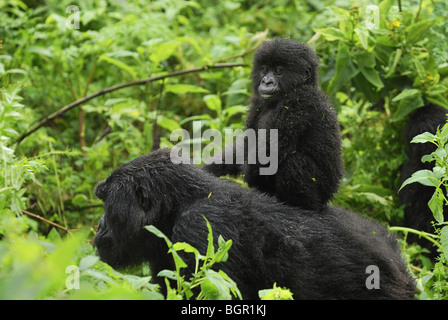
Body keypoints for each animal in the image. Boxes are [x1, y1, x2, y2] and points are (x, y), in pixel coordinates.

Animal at [203, 38, 344, 210]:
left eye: (278, 71)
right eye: (264, 69)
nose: (267, 82)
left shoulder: (299, 102)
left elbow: (267, 153)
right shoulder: (257, 103)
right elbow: (247, 144)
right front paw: (213, 168)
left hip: (324, 192)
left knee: (294, 162)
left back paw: (302, 204)